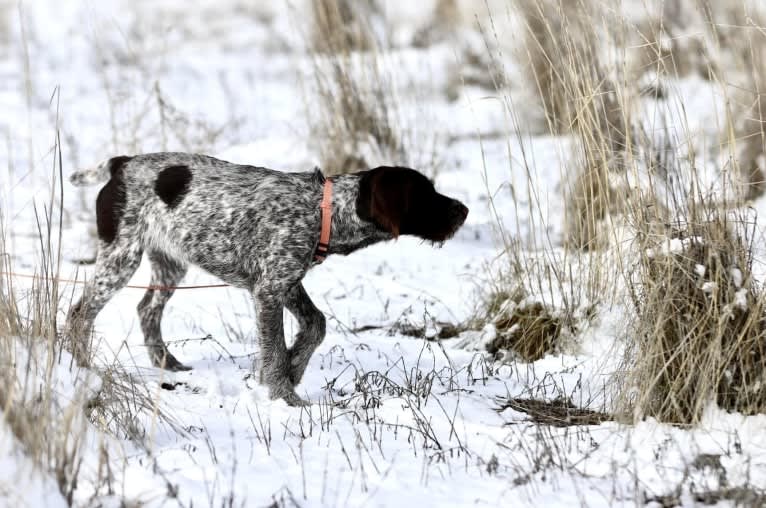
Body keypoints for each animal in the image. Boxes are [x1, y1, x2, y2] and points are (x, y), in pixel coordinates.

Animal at [66, 153, 472, 406]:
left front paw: (293, 369)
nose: (464, 209)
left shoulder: (286, 282)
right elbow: (274, 349)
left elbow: (316, 325)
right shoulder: (269, 291)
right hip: (121, 257)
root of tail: (122, 163)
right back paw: (84, 369)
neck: (323, 211)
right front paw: (285, 397)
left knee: (147, 308)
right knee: (79, 314)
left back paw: (167, 362)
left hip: (170, 262)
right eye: (425, 194)